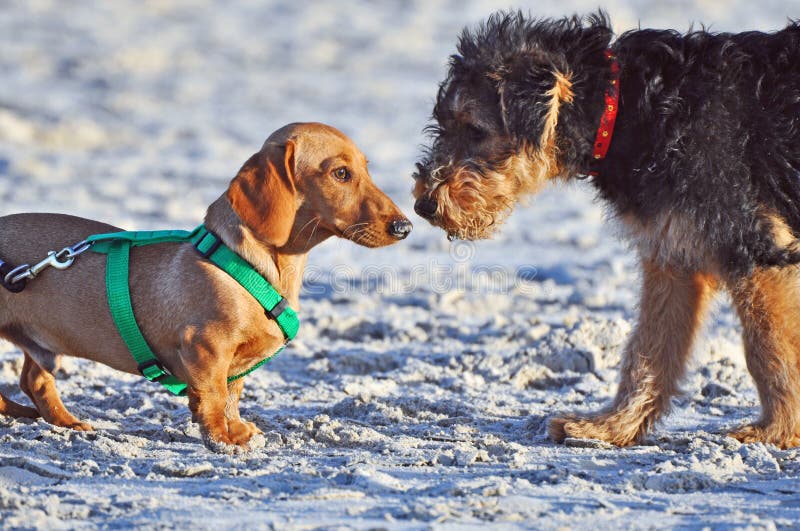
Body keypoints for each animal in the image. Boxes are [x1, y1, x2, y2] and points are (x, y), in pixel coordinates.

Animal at [412, 10, 800, 446]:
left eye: (474, 129)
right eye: (442, 124)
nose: (424, 205)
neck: (623, 108)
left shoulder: (754, 245)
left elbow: (770, 349)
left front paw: (778, 431)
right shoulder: (671, 254)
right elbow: (648, 353)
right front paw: (611, 426)